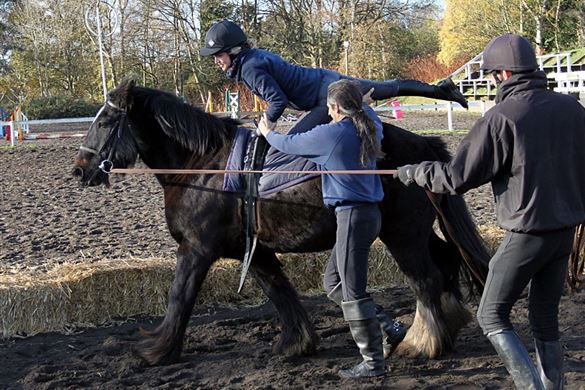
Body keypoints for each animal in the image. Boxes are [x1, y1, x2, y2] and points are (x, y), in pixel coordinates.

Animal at [75, 79, 490, 366]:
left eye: (106, 120)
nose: (80, 169)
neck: (202, 165)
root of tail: (423, 146)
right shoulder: (253, 251)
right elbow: (280, 292)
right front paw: (297, 343)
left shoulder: (195, 250)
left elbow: (180, 297)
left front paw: (155, 350)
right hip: (414, 231)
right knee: (446, 261)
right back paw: (446, 326)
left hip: (402, 236)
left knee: (427, 280)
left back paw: (422, 343)